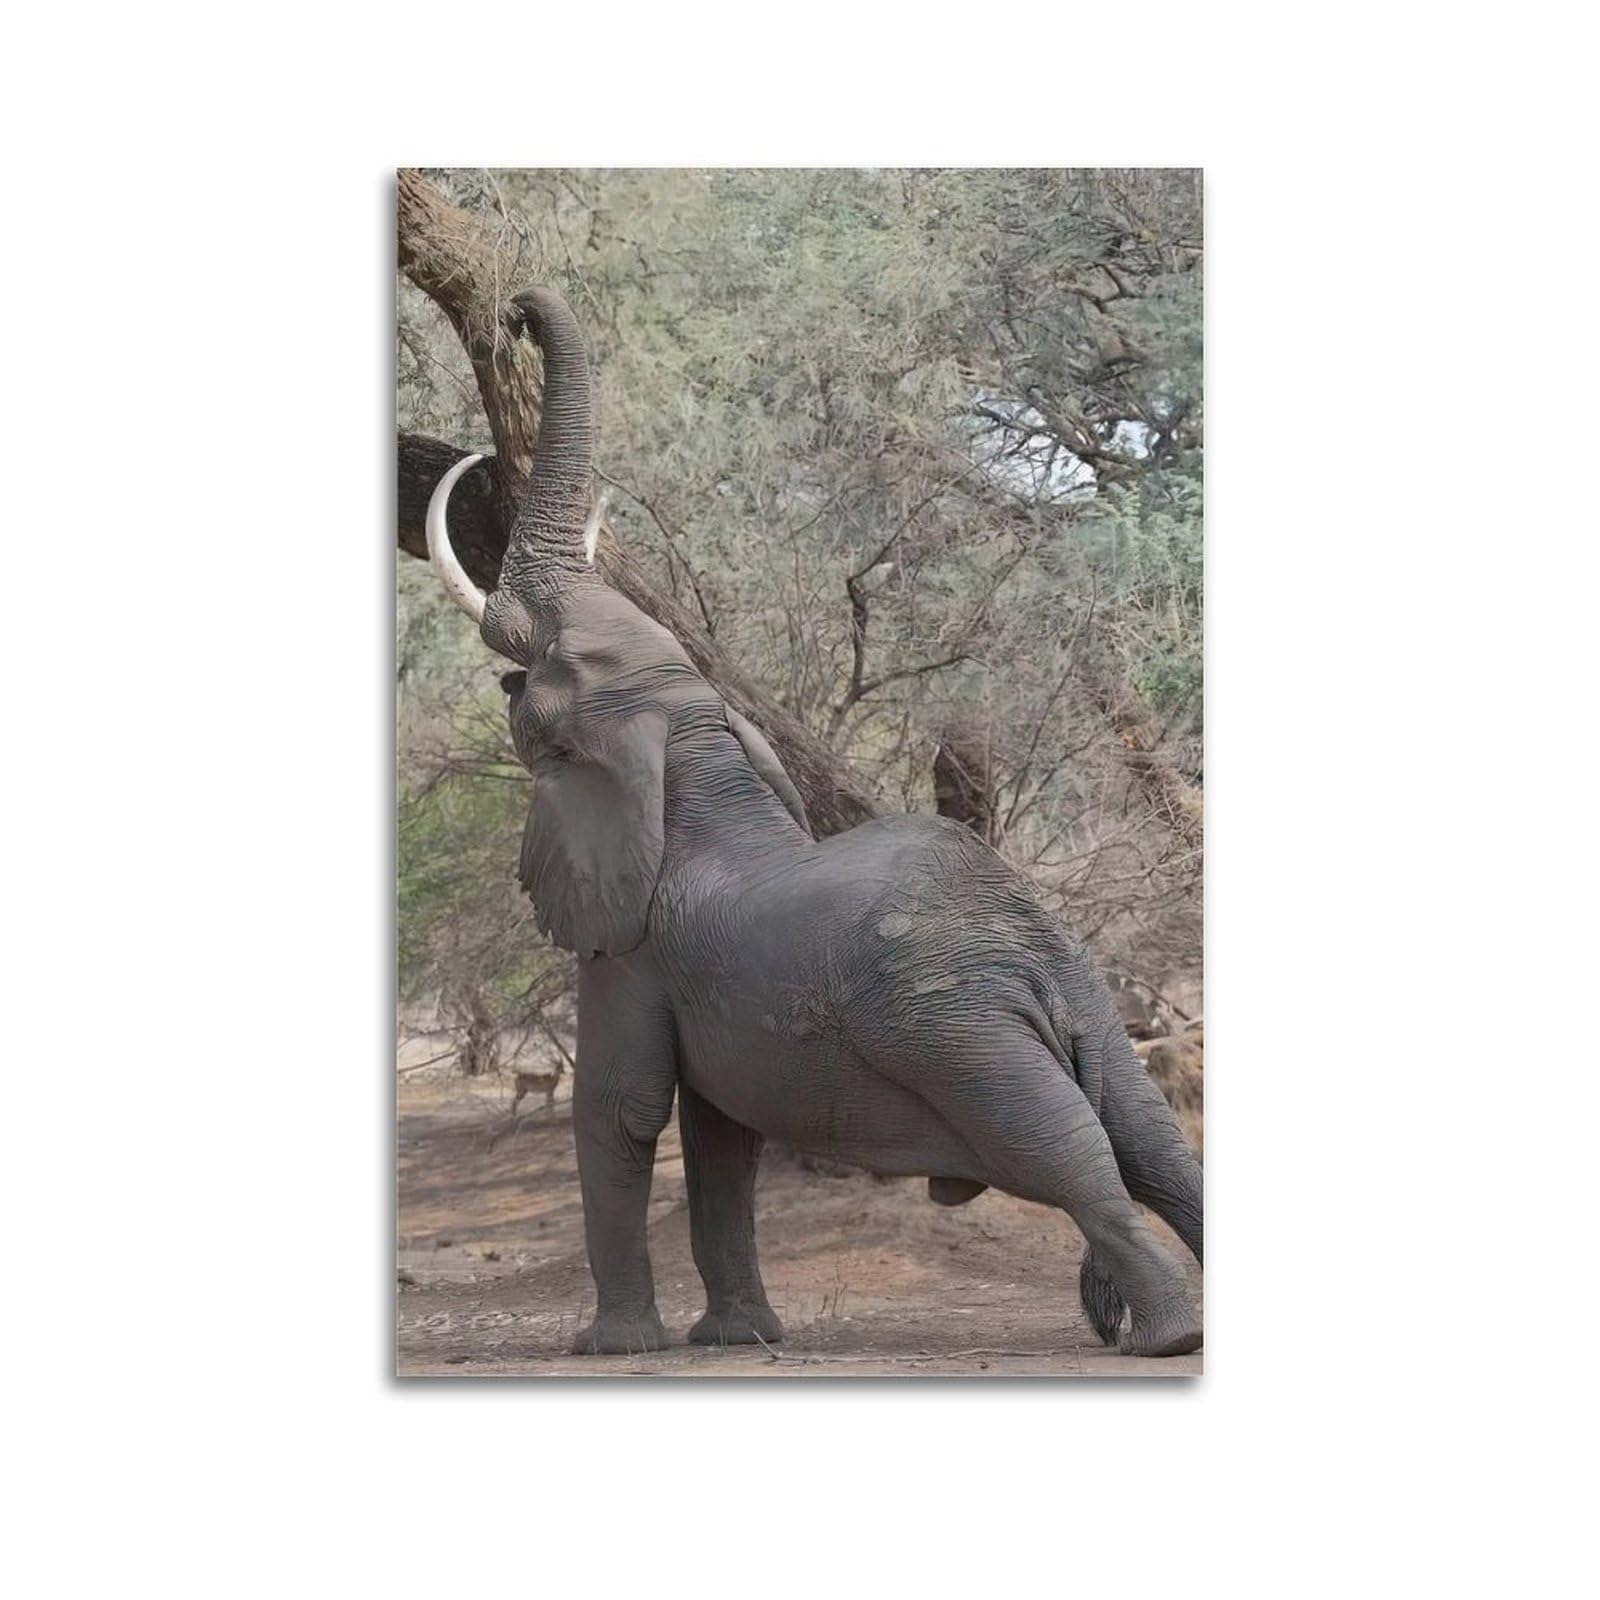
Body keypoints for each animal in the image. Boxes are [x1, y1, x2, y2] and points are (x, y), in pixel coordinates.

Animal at [422, 286, 1203, 1358]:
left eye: (541, 677)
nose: (517, 312)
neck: (689, 740)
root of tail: (1037, 958)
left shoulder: (632, 948)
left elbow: (623, 1108)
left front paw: (613, 1348)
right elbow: (719, 1136)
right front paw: (735, 1340)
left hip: (957, 1032)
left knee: (1070, 1155)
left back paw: (1167, 1338)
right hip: (1082, 999)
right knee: (1154, 1145)